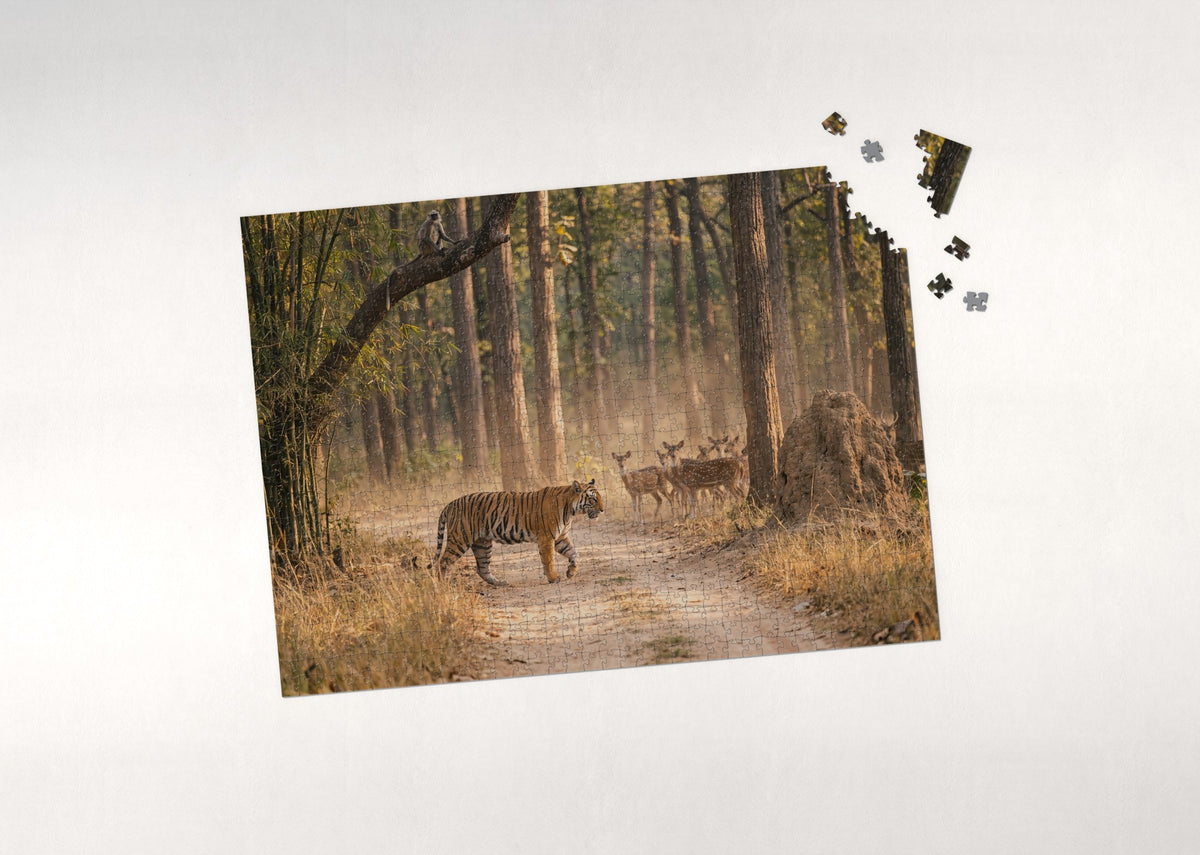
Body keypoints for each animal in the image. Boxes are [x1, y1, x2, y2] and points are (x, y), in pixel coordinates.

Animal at [431, 479, 604, 586]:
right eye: (593, 499)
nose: (603, 510)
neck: (571, 511)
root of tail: (450, 504)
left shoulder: (560, 538)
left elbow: (574, 553)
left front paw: (571, 572)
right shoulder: (547, 538)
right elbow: (549, 560)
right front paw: (554, 578)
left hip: (482, 544)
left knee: (482, 568)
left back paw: (500, 583)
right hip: (460, 539)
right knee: (441, 563)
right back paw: (442, 587)